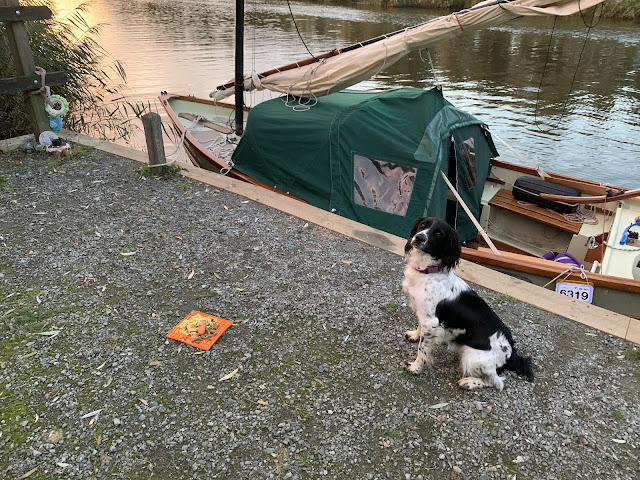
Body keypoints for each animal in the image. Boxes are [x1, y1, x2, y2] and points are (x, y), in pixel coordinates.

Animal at [401, 217, 534, 390]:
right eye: (423, 225)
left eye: (438, 233)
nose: (419, 238)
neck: (429, 272)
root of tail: (511, 355)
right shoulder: (425, 315)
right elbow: (419, 327)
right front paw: (414, 335)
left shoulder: (430, 322)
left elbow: (422, 350)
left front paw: (415, 367)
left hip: (471, 356)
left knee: (496, 382)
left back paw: (469, 382)